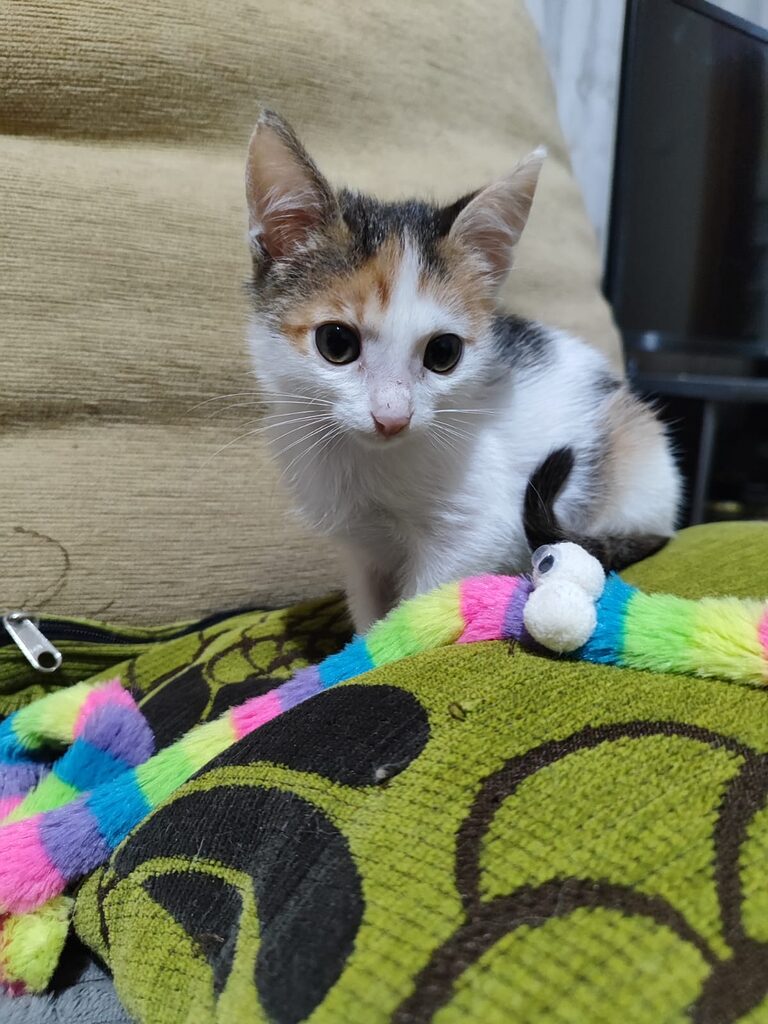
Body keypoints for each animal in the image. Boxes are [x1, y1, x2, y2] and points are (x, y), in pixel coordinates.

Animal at [244, 110, 681, 632]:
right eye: (336, 344)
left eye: (443, 353)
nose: (392, 417)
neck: (364, 461)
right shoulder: (359, 547)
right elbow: (368, 601)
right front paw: (364, 638)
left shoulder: (479, 531)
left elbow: (421, 596)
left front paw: (393, 641)